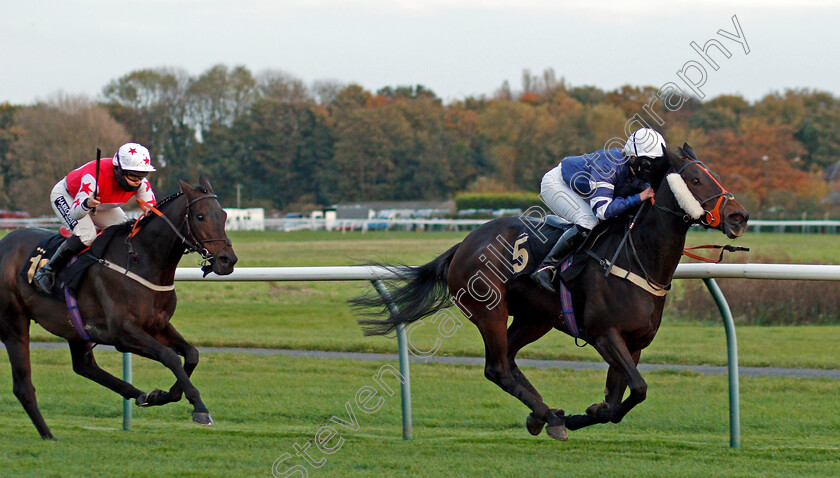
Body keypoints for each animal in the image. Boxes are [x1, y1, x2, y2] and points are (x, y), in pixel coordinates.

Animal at [0, 175, 236, 436]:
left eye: (223, 214)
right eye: (200, 216)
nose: (228, 260)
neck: (142, 260)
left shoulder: (157, 325)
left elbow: (192, 354)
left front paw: (163, 395)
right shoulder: (123, 333)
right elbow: (170, 357)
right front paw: (199, 408)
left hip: (74, 327)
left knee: (85, 367)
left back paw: (141, 395)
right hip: (14, 322)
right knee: (23, 385)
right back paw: (48, 435)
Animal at [358, 145, 752, 440]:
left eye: (714, 174)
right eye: (696, 179)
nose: (739, 216)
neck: (637, 257)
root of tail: (464, 243)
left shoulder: (634, 343)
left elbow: (617, 403)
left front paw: (588, 411)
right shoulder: (604, 335)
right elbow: (638, 390)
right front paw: (576, 417)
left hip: (534, 318)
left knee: (510, 360)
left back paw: (544, 415)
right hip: (489, 310)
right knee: (498, 368)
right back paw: (549, 416)